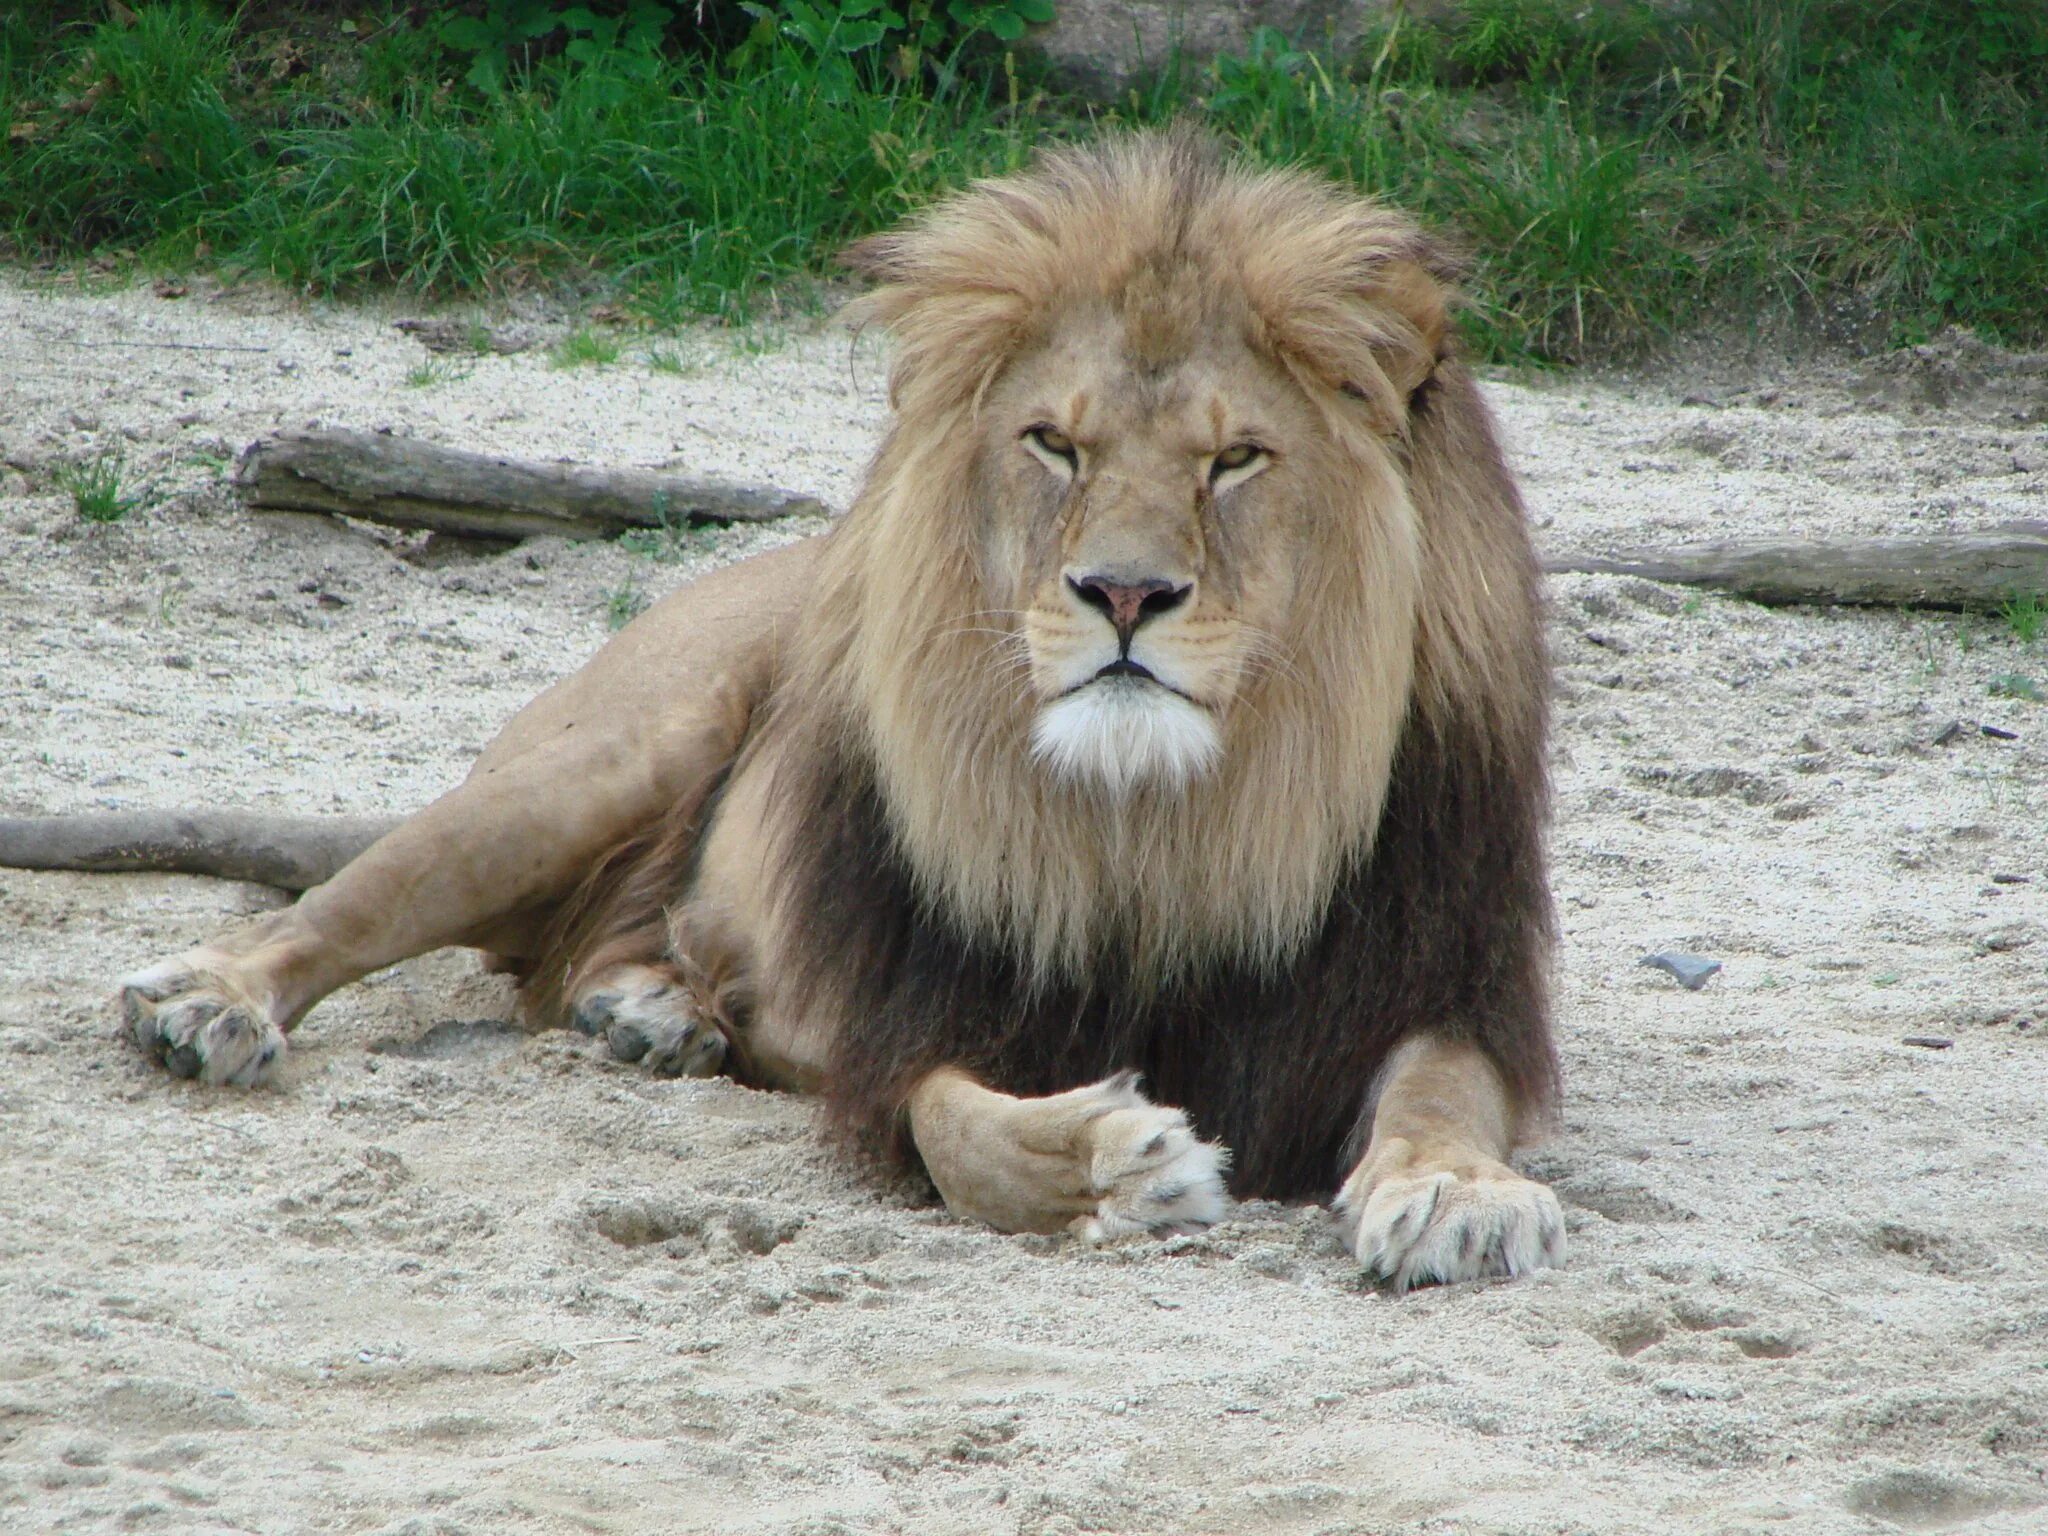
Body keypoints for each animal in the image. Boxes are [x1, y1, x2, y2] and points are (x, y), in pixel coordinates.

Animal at [103, 129, 1556, 1286]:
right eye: (1054, 444)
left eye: (1236, 460)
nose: (1124, 593)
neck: (1166, 824)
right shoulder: (910, 1012)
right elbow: (957, 1133)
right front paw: (1116, 1163)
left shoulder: (1439, 973)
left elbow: (1444, 1088)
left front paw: (1452, 1193)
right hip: (609, 756)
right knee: (353, 904)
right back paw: (210, 1001)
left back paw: (652, 1014)